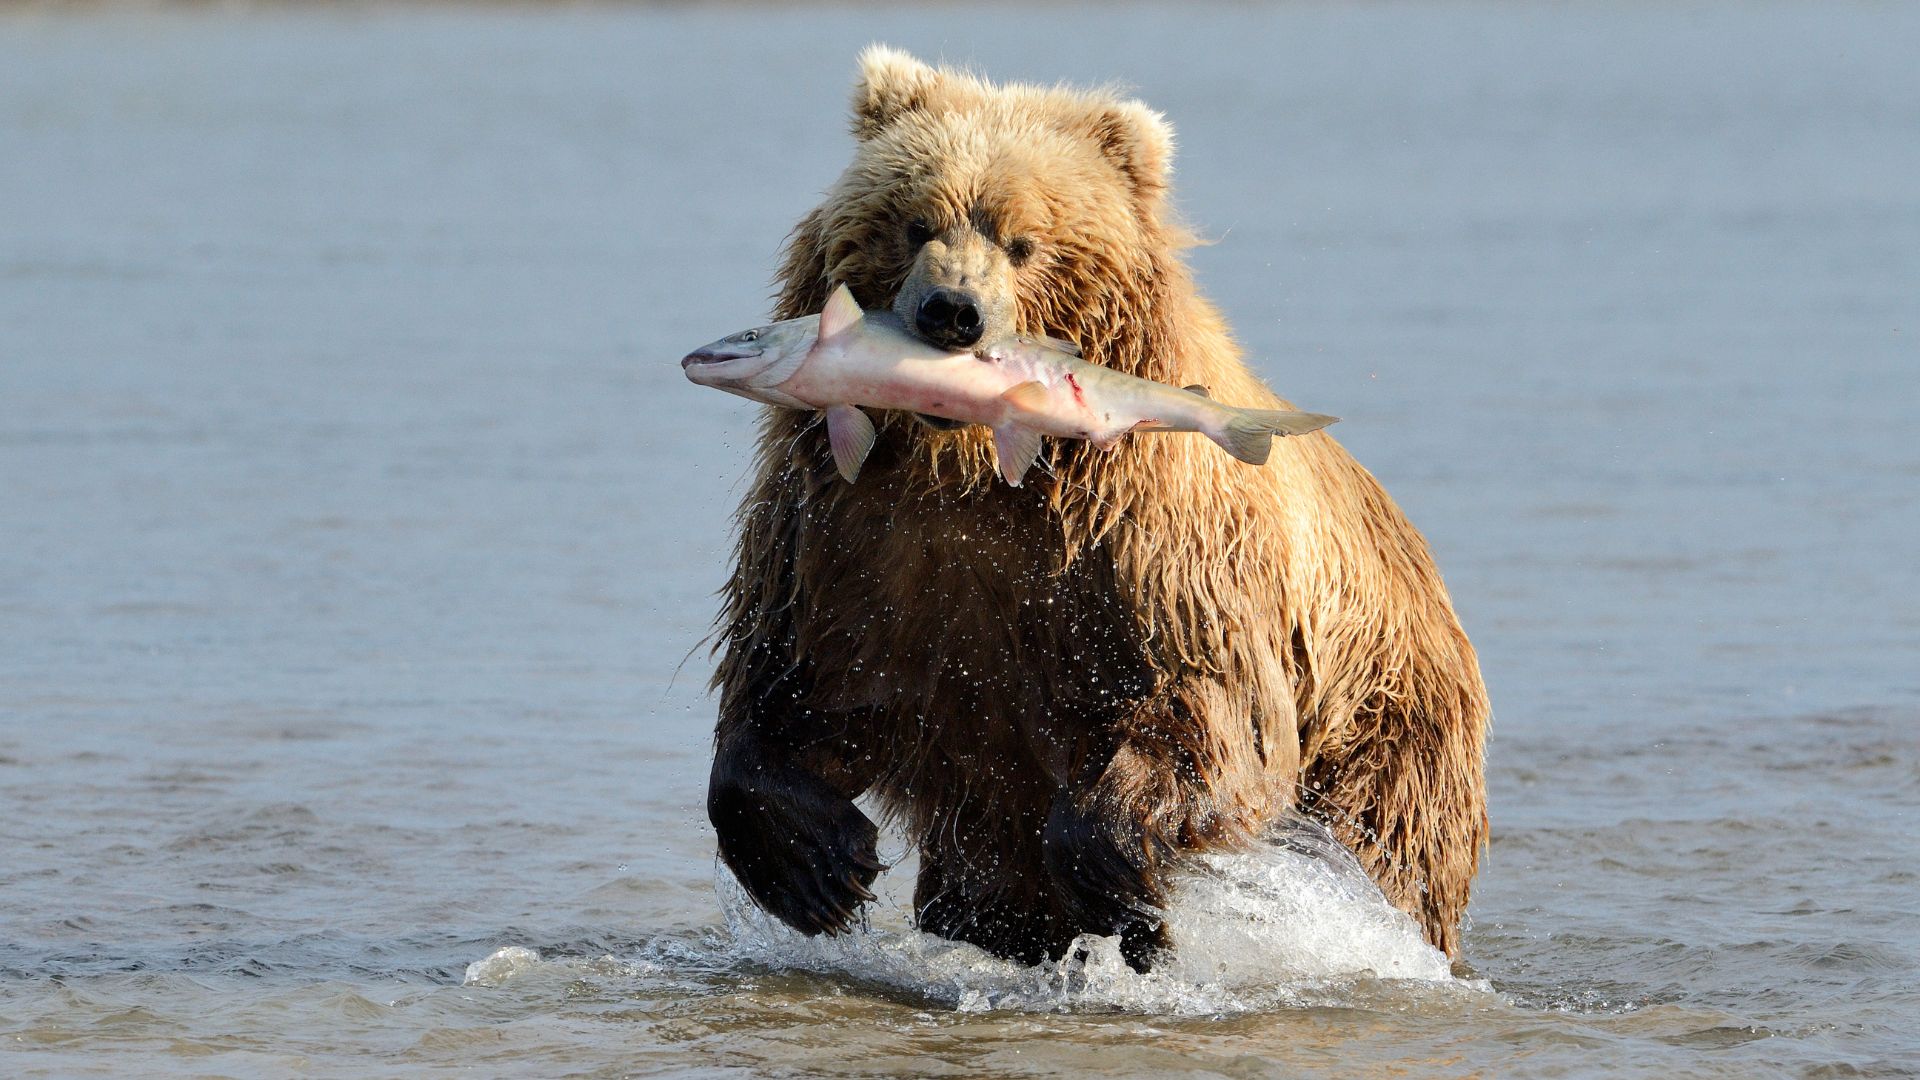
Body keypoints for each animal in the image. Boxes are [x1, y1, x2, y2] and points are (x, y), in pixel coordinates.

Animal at [706, 46, 1490, 970]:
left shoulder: (1145, 545)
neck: (966, 471)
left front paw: (1117, 873)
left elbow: (1206, 708)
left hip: (1387, 723)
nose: (952, 312)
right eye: (916, 222)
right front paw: (819, 862)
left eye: (1024, 241)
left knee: (1382, 845)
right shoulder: (850, 530)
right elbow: (799, 669)